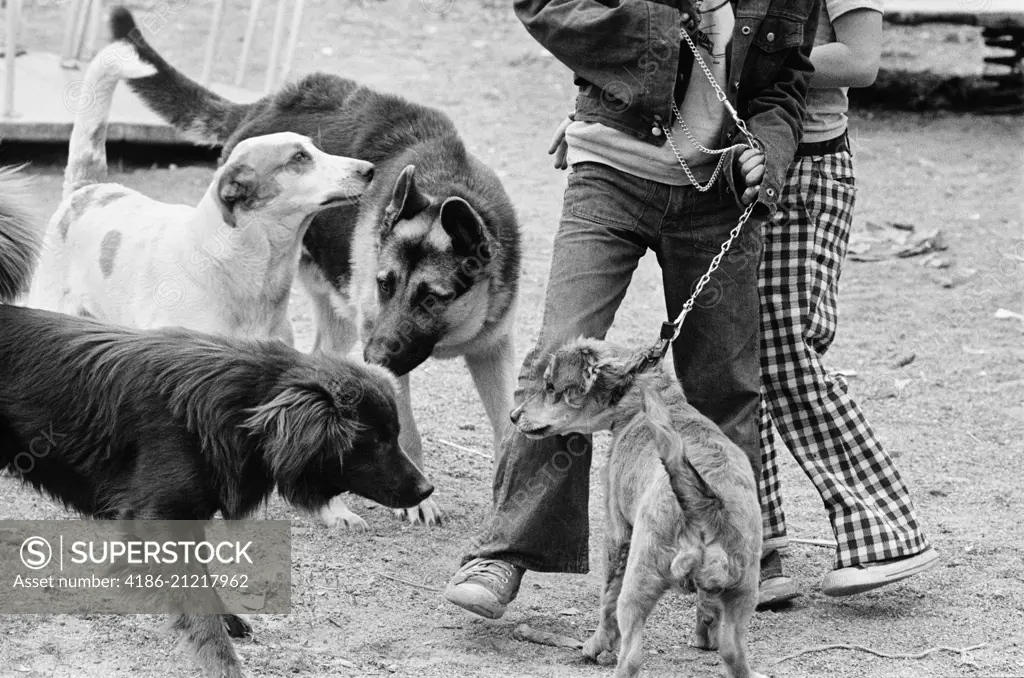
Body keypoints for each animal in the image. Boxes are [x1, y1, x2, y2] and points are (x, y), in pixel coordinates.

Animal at [0, 165, 432, 678]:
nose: (426, 489)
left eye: (395, 434)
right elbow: (198, 607)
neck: (231, 411)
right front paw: (222, 661)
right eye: (375, 440)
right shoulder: (161, 520)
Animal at [114, 6, 520, 532]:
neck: (449, 185)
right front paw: (418, 498)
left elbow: (509, 426)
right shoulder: (382, 337)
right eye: (385, 285)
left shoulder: (492, 348)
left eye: (432, 297)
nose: (373, 357)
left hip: (341, 322)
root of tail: (261, 106)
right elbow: (409, 430)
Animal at [509, 340, 761, 678]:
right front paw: (703, 636)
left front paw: (595, 645)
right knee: (734, 654)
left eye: (551, 386)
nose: (514, 415)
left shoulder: (617, 533)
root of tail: (708, 509)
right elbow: (707, 608)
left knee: (630, 654)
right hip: (743, 594)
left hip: (639, 579)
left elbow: (606, 599)